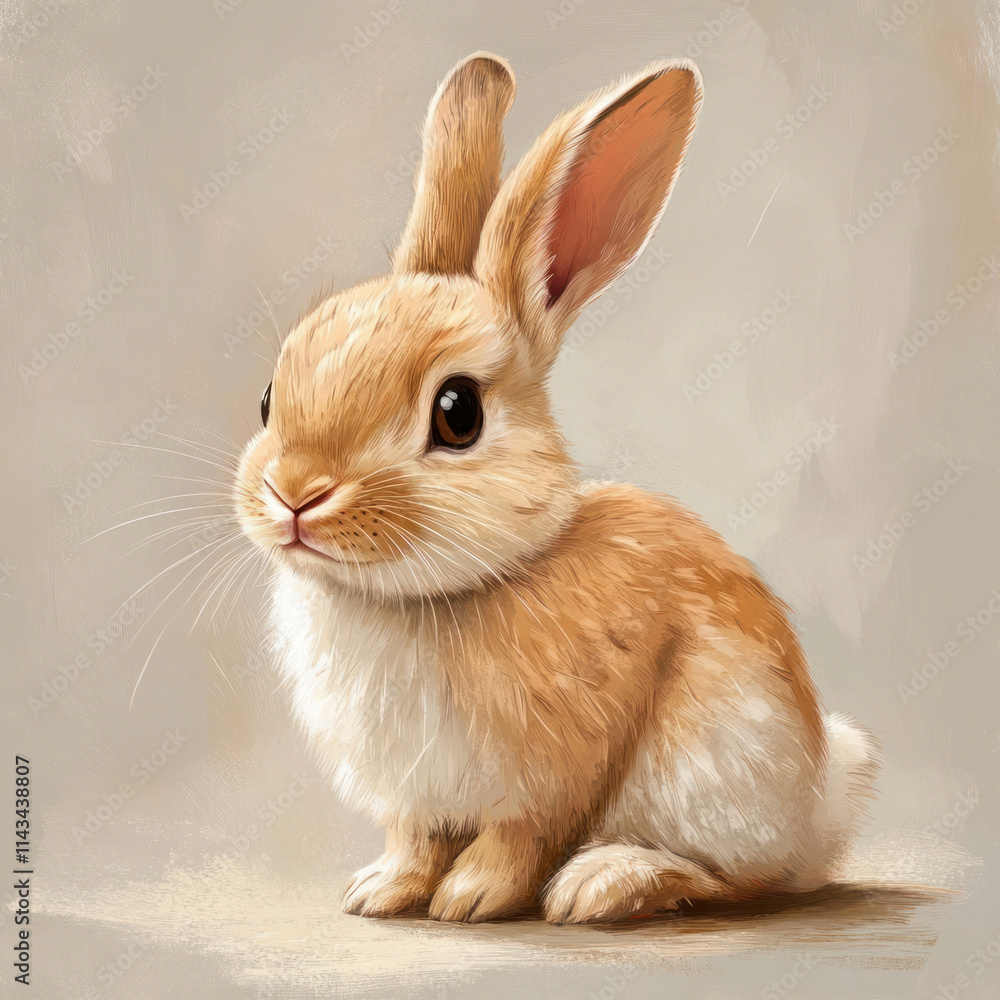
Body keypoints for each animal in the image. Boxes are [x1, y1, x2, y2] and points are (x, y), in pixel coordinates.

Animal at [233, 52, 881, 924]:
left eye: (457, 413)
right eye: (270, 399)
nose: (295, 495)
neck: (434, 593)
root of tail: (824, 803)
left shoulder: (554, 774)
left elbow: (520, 838)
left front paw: (469, 898)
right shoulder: (414, 801)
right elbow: (415, 840)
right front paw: (380, 892)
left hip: (719, 766)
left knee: (745, 879)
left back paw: (607, 882)